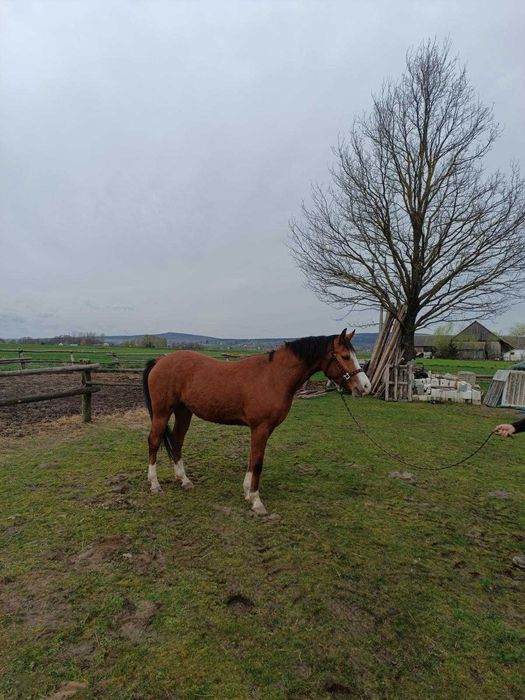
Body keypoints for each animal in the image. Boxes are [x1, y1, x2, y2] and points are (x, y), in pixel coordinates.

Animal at [142, 328, 371, 514]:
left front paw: (247, 492)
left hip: (184, 412)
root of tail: (159, 361)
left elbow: (252, 459)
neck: (273, 376)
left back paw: (184, 480)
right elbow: (258, 462)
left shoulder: (261, 429)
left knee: (177, 442)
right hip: (162, 412)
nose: (366, 387)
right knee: (154, 441)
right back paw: (154, 485)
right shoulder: (260, 428)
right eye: (345, 356)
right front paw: (256, 501)